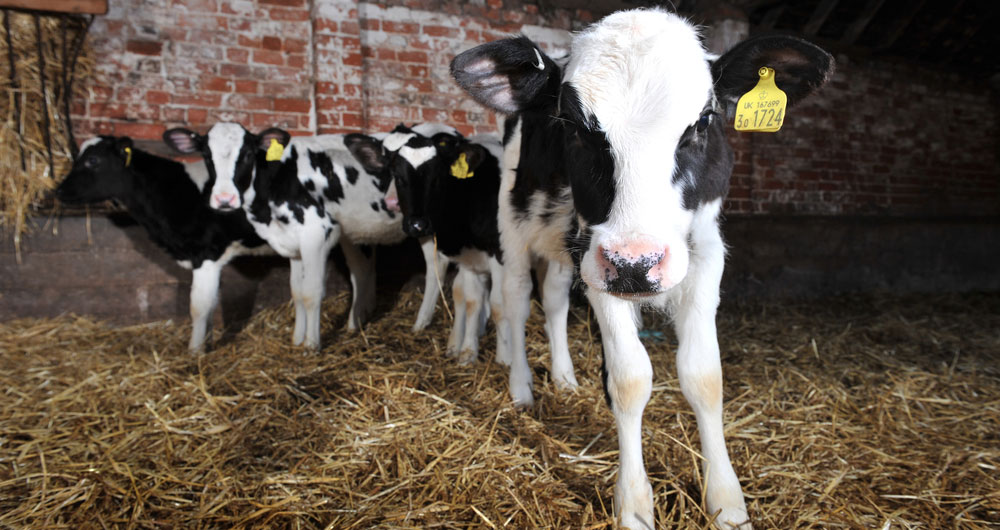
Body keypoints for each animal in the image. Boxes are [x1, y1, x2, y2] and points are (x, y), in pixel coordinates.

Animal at [56, 136, 268, 350]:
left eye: (93, 160)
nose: (59, 190)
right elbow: (211, 304)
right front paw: (206, 345)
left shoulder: (206, 254)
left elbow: (199, 307)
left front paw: (194, 351)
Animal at [450, 9, 832, 528]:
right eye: (572, 125)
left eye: (703, 122)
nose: (638, 264)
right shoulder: (600, 261)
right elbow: (629, 379)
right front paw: (633, 504)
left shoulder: (704, 252)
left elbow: (704, 376)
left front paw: (727, 501)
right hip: (515, 226)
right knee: (513, 301)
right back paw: (522, 387)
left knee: (553, 301)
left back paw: (565, 378)